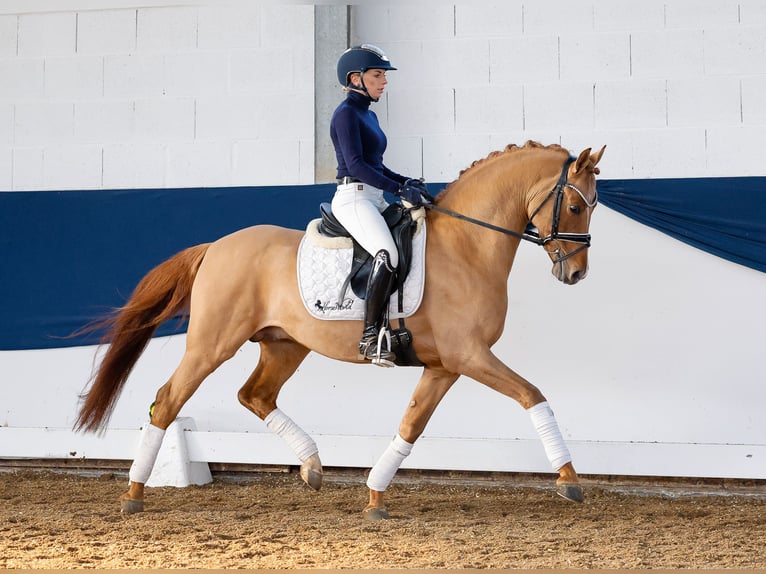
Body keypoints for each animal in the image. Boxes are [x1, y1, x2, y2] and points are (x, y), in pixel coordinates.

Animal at [75, 141, 608, 520]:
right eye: (576, 207)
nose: (577, 273)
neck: (467, 245)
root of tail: (215, 246)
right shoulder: (469, 356)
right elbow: (532, 395)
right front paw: (569, 480)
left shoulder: (445, 365)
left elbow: (411, 424)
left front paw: (374, 497)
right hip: (212, 343)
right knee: (168, 401)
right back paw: (134, 495)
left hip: (284, 345)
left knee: (255, 395)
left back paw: (312, 466)